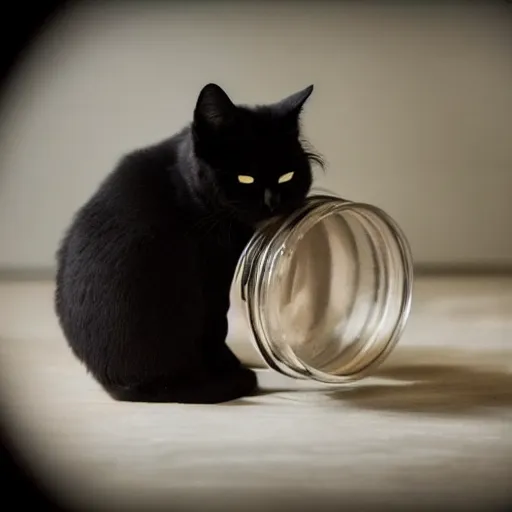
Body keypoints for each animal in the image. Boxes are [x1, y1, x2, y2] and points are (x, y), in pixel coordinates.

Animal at [54, 83, 322, 404]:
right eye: (244, 178)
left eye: (287, 176)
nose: (273, 202)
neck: (184, 181)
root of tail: (123, 383)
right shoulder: (214, 277)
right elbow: (218, 328)